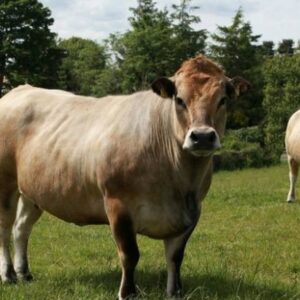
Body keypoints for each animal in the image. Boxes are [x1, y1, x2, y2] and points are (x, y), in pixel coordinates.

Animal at [0, 55, 248, 298]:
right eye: (179, 100)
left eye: (223, 100)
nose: (203, 136)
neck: (178, 182)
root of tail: (20, 90)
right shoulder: (118, 204)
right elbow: (130, 254)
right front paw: (128, 293)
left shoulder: (193, 209)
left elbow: (176, 256)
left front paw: (175, 292)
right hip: (5, 183)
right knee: (5, 227)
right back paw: (9, 275)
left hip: (32, 191)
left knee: (21, 228)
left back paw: (24, 273)